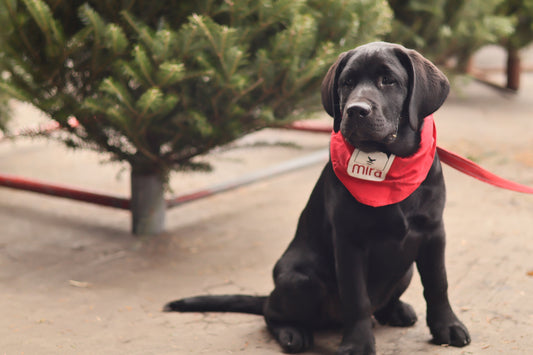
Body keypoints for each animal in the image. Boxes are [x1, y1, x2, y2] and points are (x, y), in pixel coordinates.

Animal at [165, 42, 470, 355]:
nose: (355, 111)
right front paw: (358, 344)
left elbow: (437, 283)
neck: (387, 167)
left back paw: (395, 311)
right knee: (271, 312)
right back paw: (291, 332)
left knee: (382, 302)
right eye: (347, 82)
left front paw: (447, 326)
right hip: (299, 280)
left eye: (388, 80)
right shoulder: (349, 240)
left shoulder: (433, 231)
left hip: (404, 269)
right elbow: (356, 298)